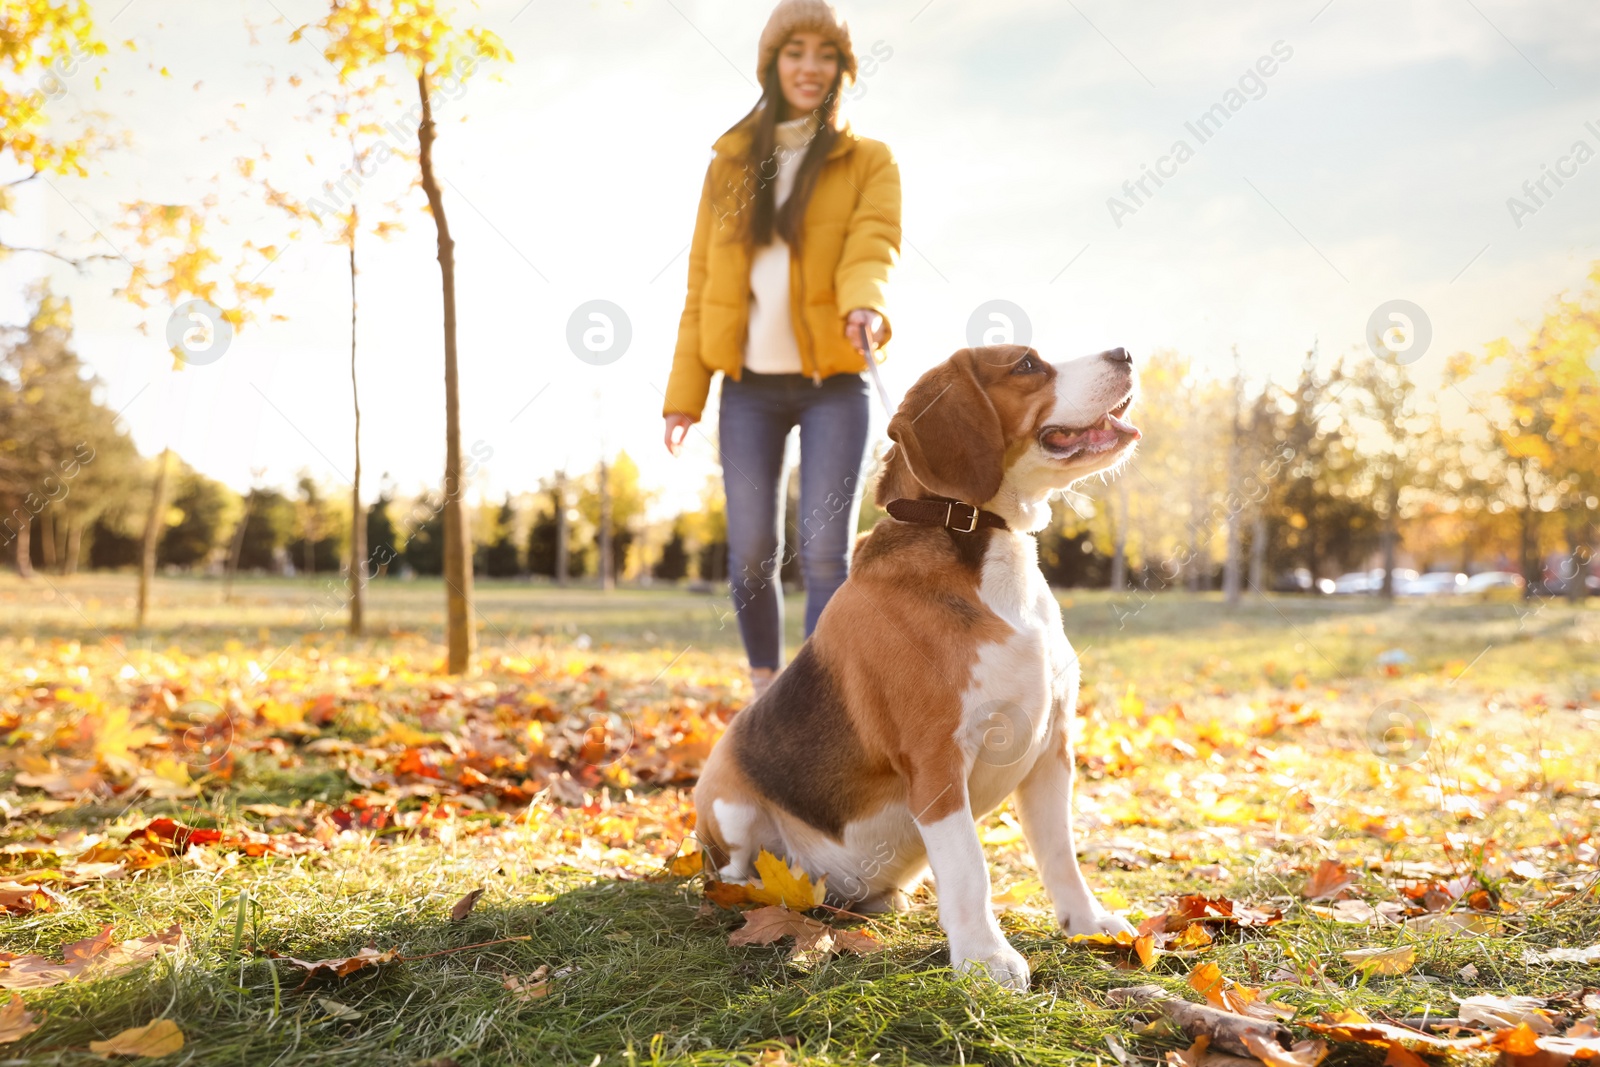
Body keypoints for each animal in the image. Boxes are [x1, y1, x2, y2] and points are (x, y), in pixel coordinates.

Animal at [697, 347, 1139, 991]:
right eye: (1027, 364)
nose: (1125, 352)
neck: (982, 541)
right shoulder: (937, 762)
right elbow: (971, 867)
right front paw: (985, 957)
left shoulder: (1052, 751)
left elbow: (1061, 855)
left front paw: (1086, 922)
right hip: (729, 807)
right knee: (731, 871)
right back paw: (757, 891)